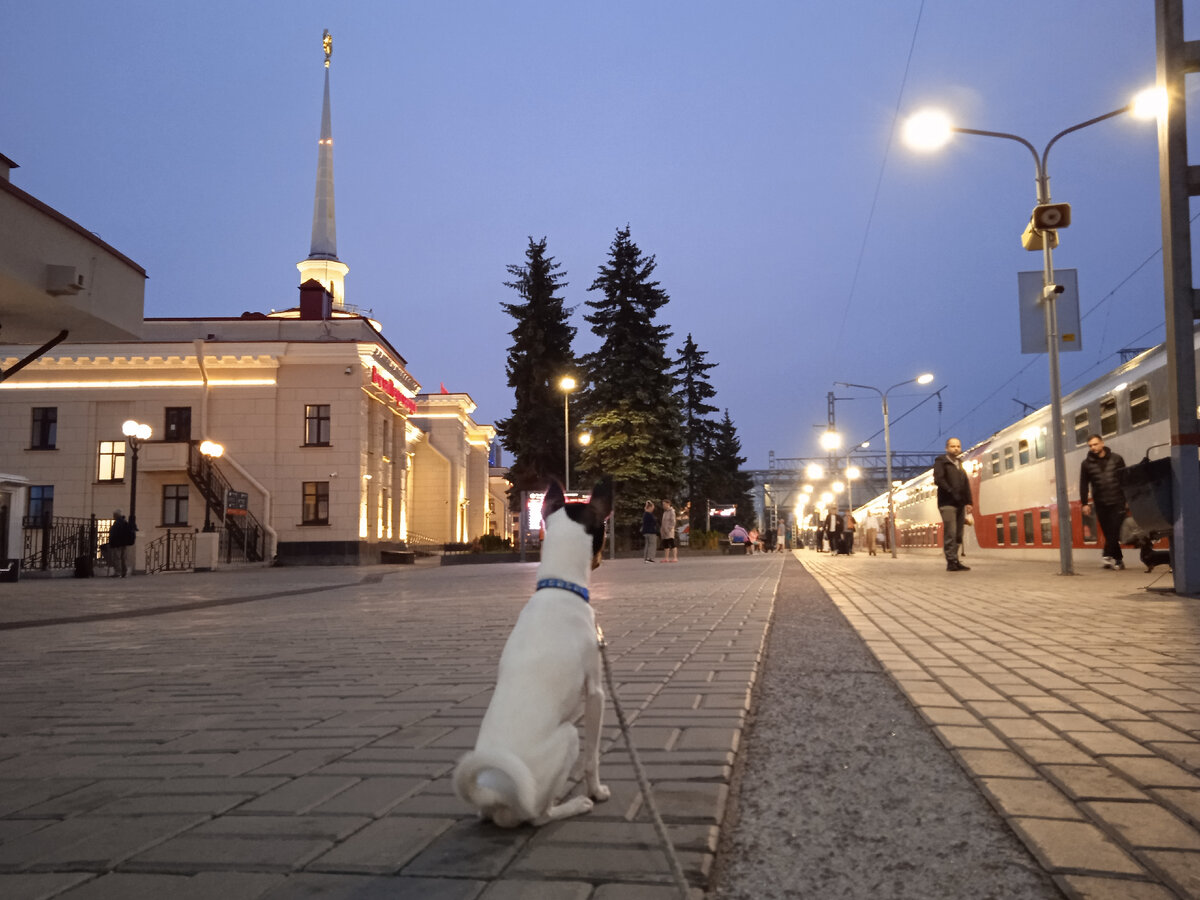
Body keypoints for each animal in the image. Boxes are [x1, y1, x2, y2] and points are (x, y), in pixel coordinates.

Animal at [453, 482, 614, 830]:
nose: (601, 561)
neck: (559, 588)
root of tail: (495, 798)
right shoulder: (596, 693)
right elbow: (592, 758)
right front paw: (596, 791)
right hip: (568, 736)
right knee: (539, 816)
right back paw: (575, 804)